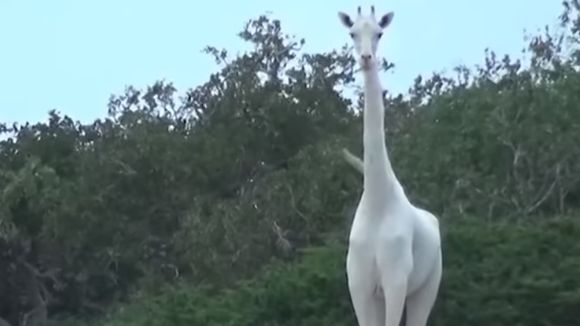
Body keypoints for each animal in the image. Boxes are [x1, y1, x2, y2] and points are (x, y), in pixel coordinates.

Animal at [338, 5, 442, 326]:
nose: (366, 58)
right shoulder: (359, 286)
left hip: (426, 286)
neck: (377, 201)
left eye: (379, 33)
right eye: (352, 32)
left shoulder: (396, 282)